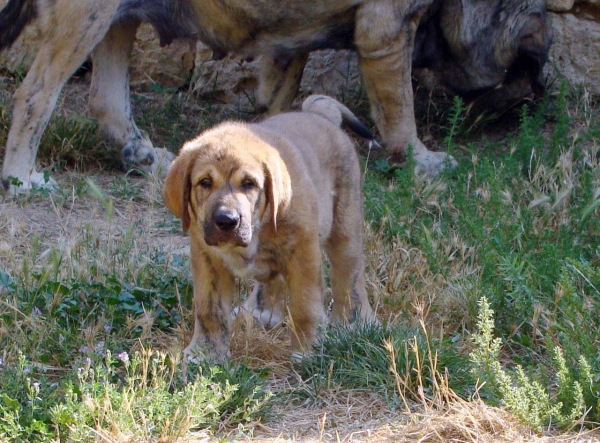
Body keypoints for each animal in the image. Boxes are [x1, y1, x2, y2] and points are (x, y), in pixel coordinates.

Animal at [1, 0, 552, 189]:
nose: (535, 93)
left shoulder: (290, 42)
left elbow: (282, 96)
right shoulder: (385, 29)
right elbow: (399, 111)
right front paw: (423, 160)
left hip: (117, 17)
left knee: (106, 98)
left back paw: (144, 156)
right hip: (87, 13)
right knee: (35, 93)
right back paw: (22, 177)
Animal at [163, 95, 376, 362]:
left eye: (249, 184)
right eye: (205, 182)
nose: (226, 220)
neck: (258, 228)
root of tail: (321, 115)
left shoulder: (304, 253)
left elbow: (304, 305)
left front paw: (306, 350)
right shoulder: (207, 258)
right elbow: (209, 309)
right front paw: (206, 352)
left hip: (345, 225)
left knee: (349, 274)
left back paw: (354, 321)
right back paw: (262, 310)